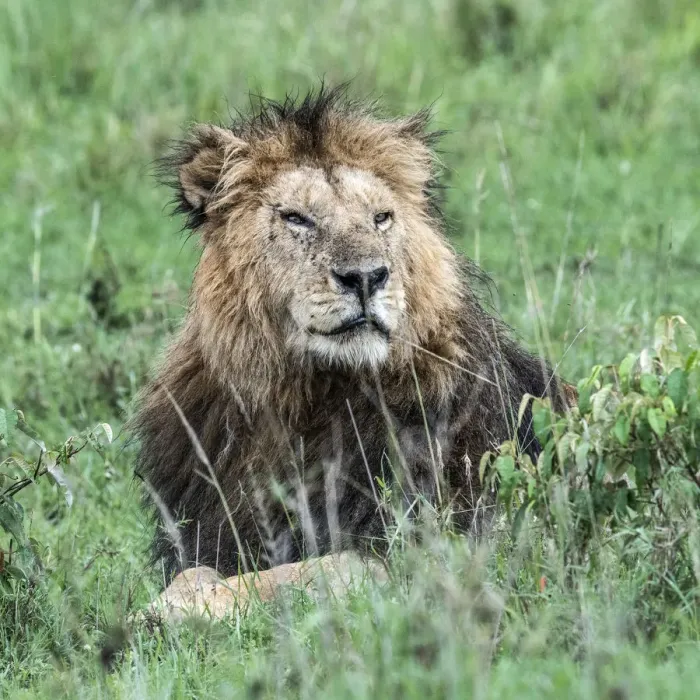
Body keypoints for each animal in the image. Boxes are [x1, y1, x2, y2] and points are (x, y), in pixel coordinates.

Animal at [134, 86, 570, 579]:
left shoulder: (409, 545)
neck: (303, 401)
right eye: (296, 218)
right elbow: (197, 573)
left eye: (381, 217)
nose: (365, 278)